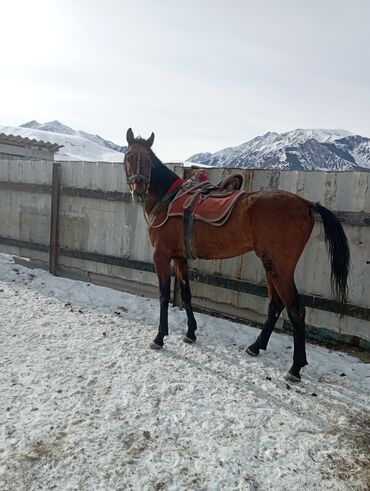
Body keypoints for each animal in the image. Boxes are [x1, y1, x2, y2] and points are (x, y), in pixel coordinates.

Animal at [124, 129, 350, 382]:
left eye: (148, 160)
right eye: (129, 156)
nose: (138, 192)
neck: (168, 199)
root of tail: (307, 204)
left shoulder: (161, 256)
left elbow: (163, 296)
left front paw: (160, 337)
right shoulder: (180, 258)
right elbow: (187, 294)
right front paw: (191, 333)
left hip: (280, 268)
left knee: (296, 310)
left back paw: (295, 367)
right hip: (271, 265)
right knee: (275, 304)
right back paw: (255, 346)